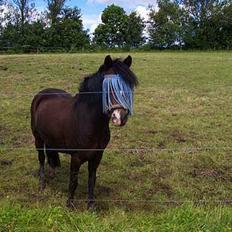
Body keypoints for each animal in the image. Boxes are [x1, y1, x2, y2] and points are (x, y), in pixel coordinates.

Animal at [30, 55, 138, 209]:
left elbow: (91, 180)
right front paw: (69, 205)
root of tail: (41, 94)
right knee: (41, 159)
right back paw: (42, 183)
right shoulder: (76, 157)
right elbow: (73, 181)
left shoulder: (97, 157)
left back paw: (53, 175)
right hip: (38, 139)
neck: (89, 122)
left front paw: (91, 206)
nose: (120, 117)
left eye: (129, 86)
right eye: (108, 87)